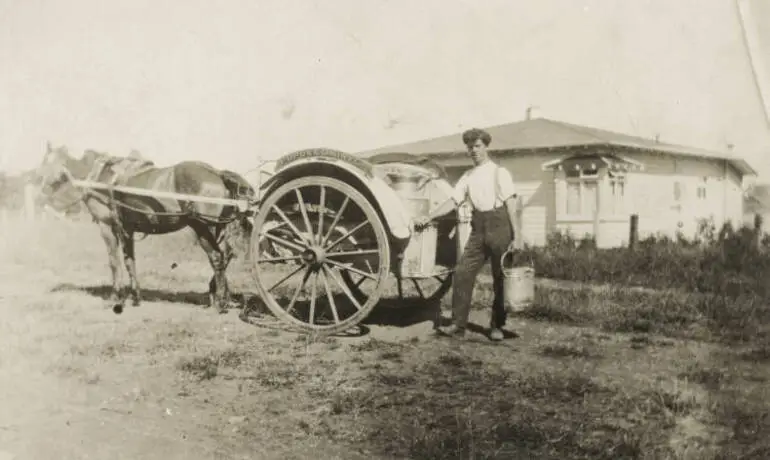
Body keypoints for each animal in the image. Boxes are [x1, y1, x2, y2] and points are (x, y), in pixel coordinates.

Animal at [34, 143, 255, 316]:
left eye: (45, 161)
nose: (41, 187)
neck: (100, 179)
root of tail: (217, 173)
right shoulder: (128, 229)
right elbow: (129, 261)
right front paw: (135, 296)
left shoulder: (108, 227)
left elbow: (115, 262)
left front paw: (116, 296)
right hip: (217, 227)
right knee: (225, 255)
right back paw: (219, 296)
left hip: (202, 226)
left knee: (217, 257)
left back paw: (220, 302)